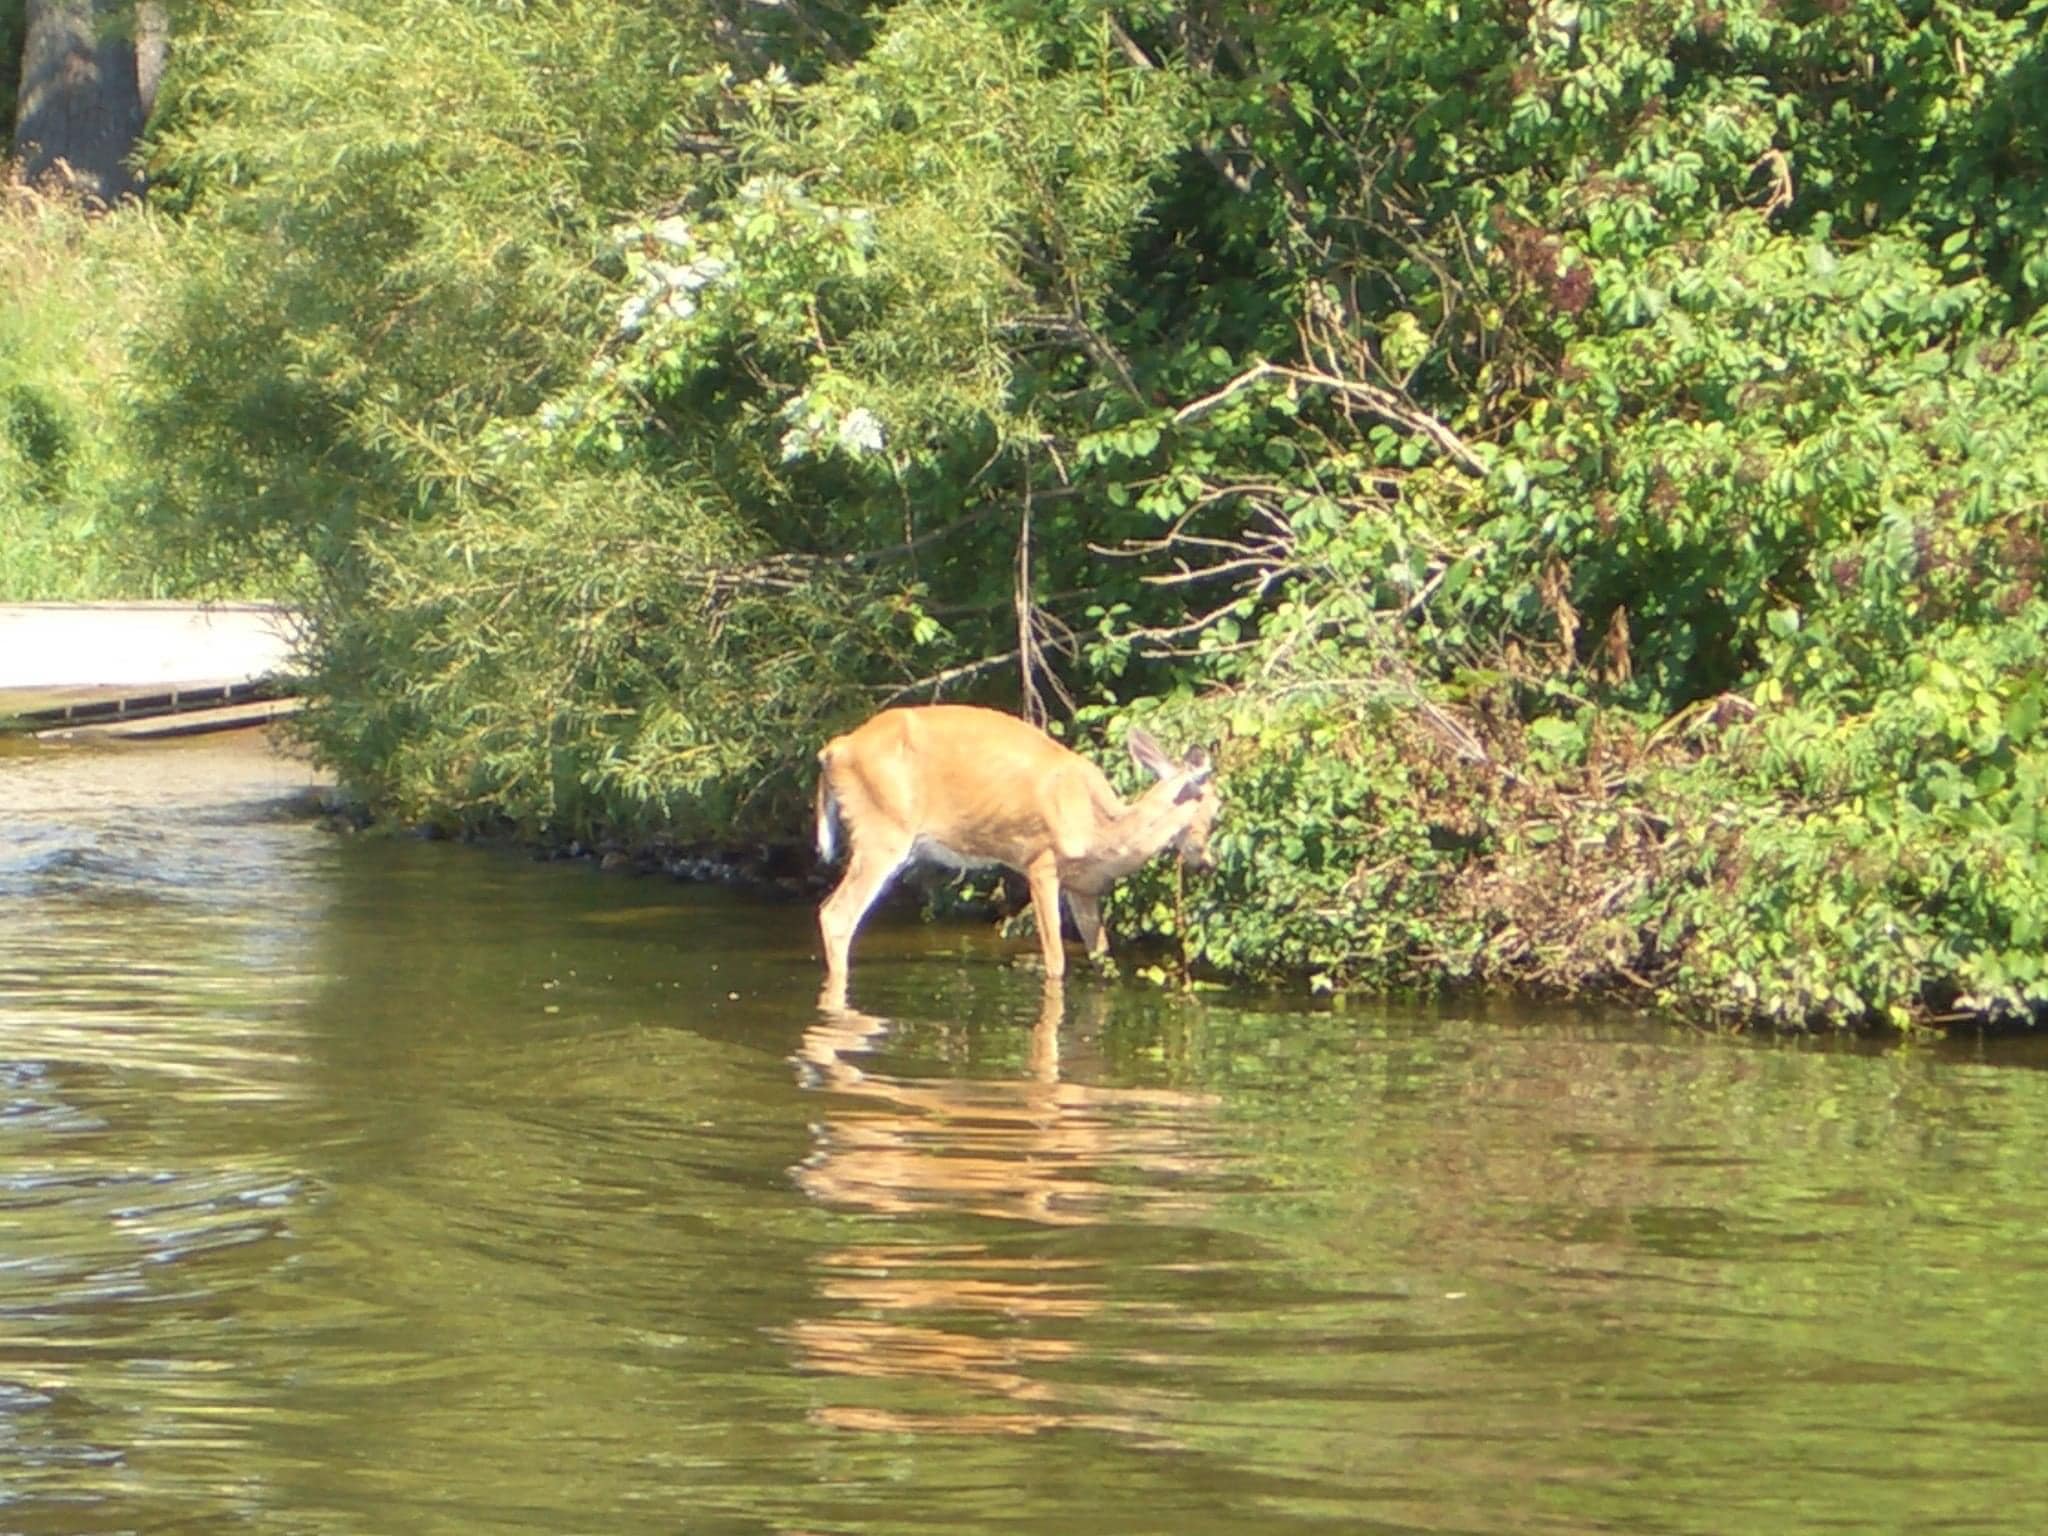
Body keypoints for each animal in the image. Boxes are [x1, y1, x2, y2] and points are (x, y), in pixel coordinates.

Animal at [806, 708, 1204, 991]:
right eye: (1211, 804)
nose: (1206, 859)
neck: (1100, 832)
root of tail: (832, 751)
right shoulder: (1040, 862)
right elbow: (1056, 959)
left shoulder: (1083, 888)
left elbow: (1102, 957)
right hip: (882, 832)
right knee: (837, 915)